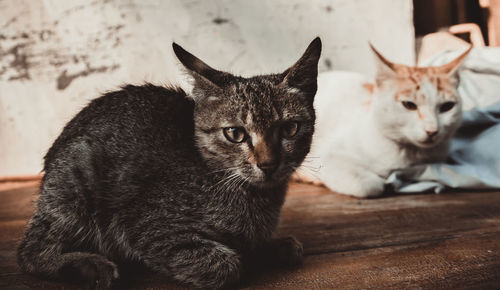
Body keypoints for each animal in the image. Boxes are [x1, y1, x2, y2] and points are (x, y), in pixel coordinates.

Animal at [17, 37, 322, 288]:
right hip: (77, 184)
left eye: (289, 129)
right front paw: (247, 256)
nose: (268, 164)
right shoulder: (145, 225)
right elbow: (225, 265)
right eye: (235, 133)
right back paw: (88, 266)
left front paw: (268, 247)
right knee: (28, 252)